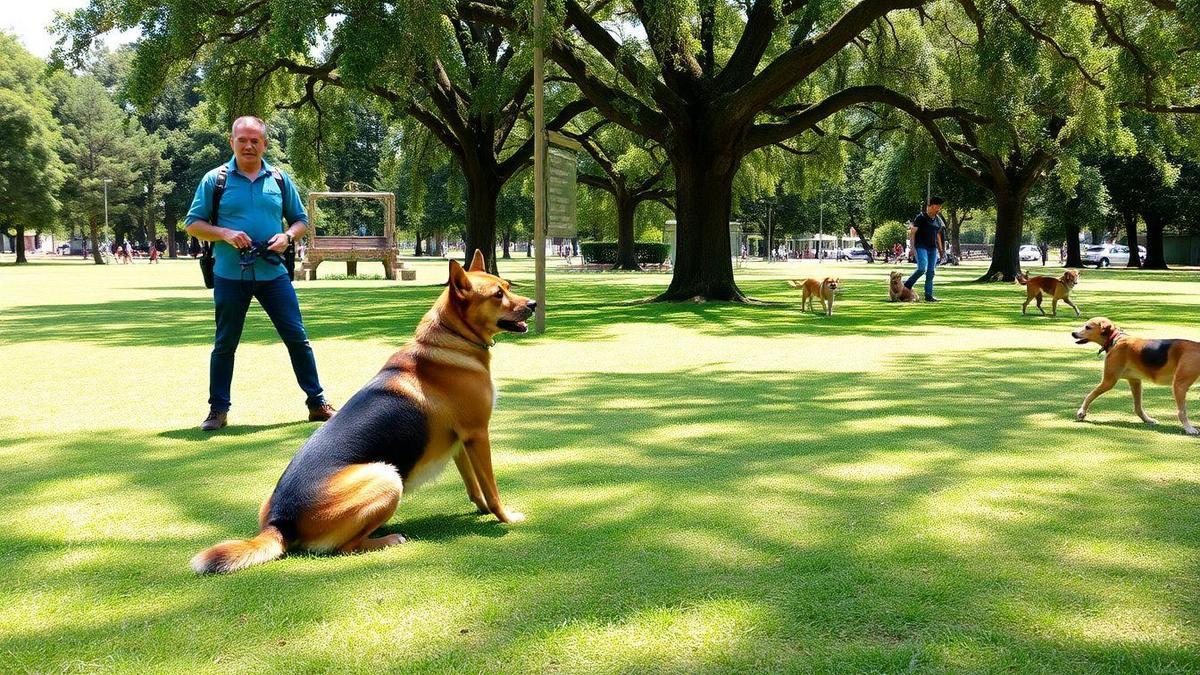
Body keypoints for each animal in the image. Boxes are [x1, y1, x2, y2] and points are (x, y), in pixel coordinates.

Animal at [192, 249, 535, 569]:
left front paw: (481, 510)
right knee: (345, 548)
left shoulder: (461, 442)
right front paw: (505, 517)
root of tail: (280, 523)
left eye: (508, 286)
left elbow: (475, 486)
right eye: (498, 295)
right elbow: (491, 487)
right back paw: (388, 539)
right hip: (386, 476)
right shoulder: (478, 434)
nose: (532, 304)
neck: (452, 338)